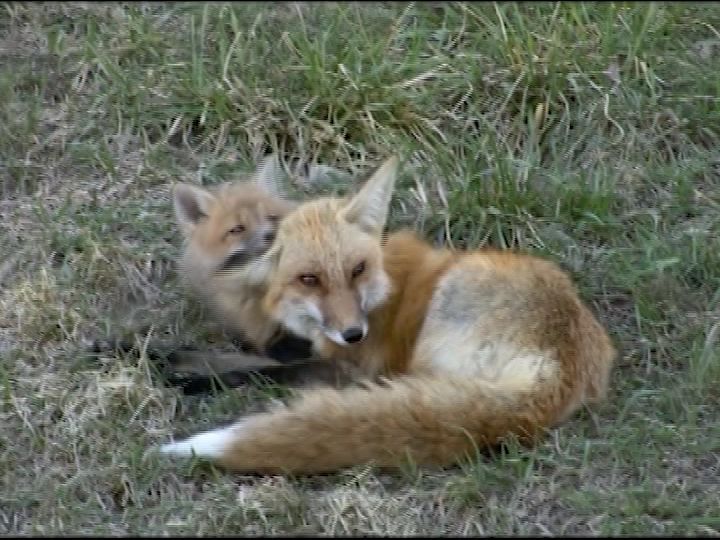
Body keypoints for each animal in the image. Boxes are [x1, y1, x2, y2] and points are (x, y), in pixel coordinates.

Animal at [156, 155, 612, 472]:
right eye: (308, 279)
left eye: (357, 269)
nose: (353, 333)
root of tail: (556, 370)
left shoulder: (353, 367)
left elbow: (261, 370)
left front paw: (191, 374)